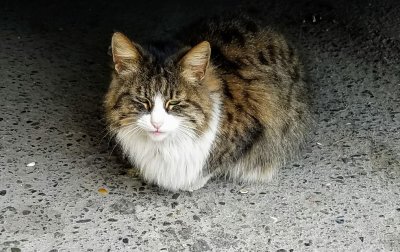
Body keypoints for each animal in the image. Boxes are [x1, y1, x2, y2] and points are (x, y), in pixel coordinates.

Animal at [104, 16, 312, 191]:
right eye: (143, 101)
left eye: (174, 102)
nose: (156, 124)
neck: (163, 147)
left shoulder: (252, 126)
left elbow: (216, 161)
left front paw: (193, 182)